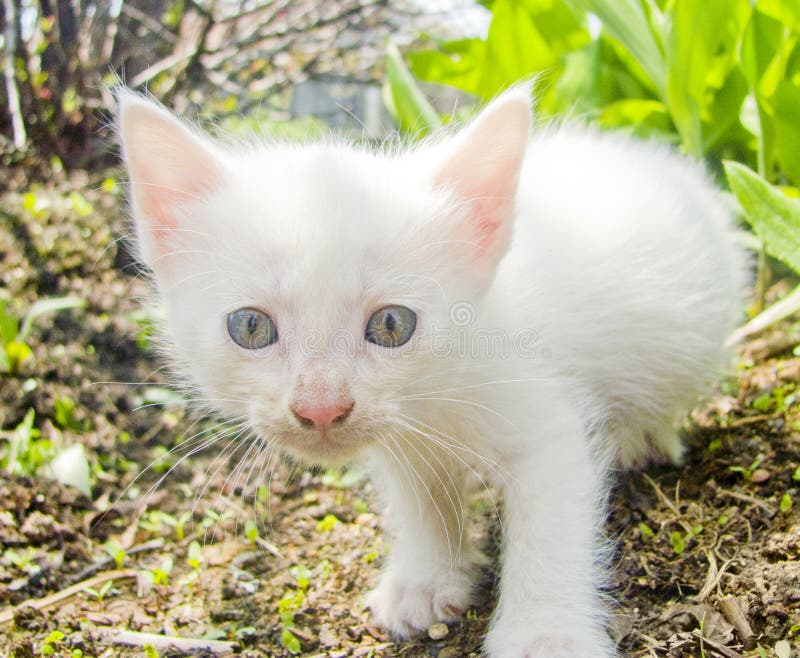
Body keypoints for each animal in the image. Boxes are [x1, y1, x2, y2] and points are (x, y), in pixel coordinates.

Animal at [115, 87, 748, 656]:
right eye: (250, 327)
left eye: (392, 324)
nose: (320, 407)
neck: (440, 395)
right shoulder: (402, 437)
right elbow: (422, 499)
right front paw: (425, 582)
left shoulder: (544, 426)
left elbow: (549, 526)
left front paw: (544, 636)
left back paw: (642, 436)